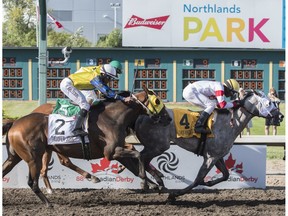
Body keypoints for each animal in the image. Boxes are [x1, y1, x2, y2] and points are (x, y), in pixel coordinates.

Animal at [1, 88, 171, 208]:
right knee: (33, 182)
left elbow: (134, 160)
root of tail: (14, 123)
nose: (168, 118)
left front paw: (154, 182)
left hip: (15, 156)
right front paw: (147, 182)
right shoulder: (111, 152)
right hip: (33, 158)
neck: (112, 118)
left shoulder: (117, 150)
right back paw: (49, 202)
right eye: (157, 101)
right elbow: (138, 155)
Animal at [134, 89, 282, 201]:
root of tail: (142, 116)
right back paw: (150, 183)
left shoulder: (218, 156)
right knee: (141, 157)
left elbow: (226, 175)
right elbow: (198, 179)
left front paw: (209, 182)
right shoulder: (211, 156)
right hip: (159, 146)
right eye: (269, 103)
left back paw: (157, 182)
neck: (230, 123)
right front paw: (174, 194)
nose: (281, 116)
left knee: (144, 160)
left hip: (155, 146)